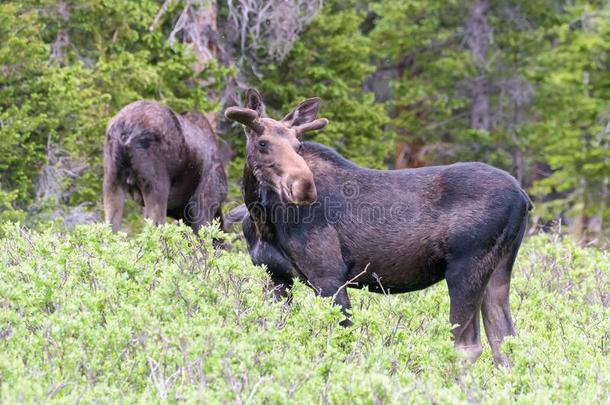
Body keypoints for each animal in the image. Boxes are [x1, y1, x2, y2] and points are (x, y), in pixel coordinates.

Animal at [103, 101, 227, 232]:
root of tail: (126, 133)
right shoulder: (204, 200)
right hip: (156, 184)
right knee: (156, 225)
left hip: (112, 179)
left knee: (110, 226)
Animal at [226, 89, 528, 366]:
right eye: (263, 143)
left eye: (298, 145)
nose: (304, 186)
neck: (262, 218)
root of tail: (523, 197)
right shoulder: (275, 276)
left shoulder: (329, 275)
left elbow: (343, 341)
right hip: (498, 269)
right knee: (505, 342)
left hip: (465, 268)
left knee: (467, 347)